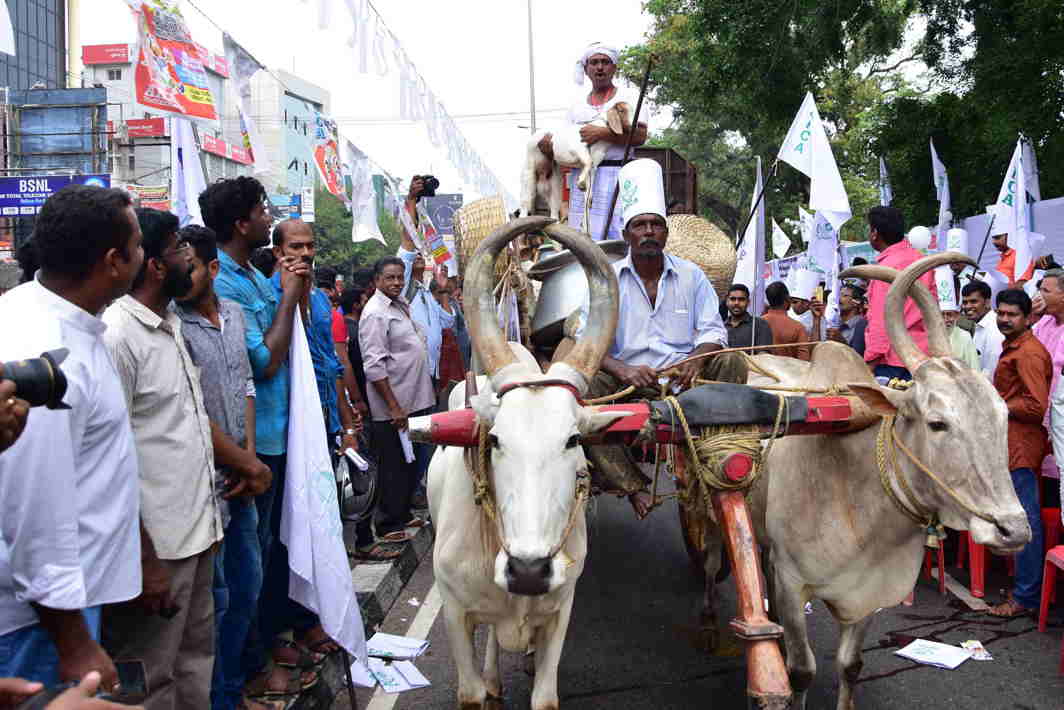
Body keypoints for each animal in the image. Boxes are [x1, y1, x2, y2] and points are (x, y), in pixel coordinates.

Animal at [414, 218, 625, 710]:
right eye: (494, 440)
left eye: (573, 440)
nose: (528, 571)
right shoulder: (455, 612)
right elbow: (470, 692)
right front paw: (485, 687)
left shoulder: (561, 608)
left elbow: (545, 695)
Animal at [523, 102, 629, 236]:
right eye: (621, 110)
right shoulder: (578, 149)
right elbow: (587, 162)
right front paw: (580, 183)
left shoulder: (594, 167)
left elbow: (588, 199)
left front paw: (586, 230)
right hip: (529, 171)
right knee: (526, 199)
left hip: (555, 180)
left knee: (554, 206)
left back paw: (555, 224)